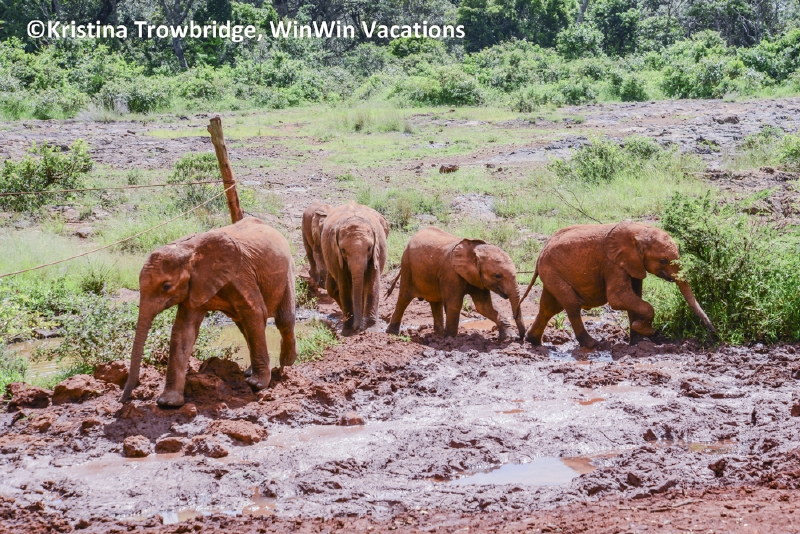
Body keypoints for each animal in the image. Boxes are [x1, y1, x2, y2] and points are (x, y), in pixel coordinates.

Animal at [120, 217, 297, 407]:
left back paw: (286, 365)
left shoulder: (240, 275)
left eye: (166, 286)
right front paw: (168, 403)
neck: (189, 251)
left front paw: (257, 385)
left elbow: (256, 312)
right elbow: (184, 330)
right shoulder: (194, 286)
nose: (123, 400)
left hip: (288, 272)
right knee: (245, 327)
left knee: (283, 320)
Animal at [320, 201, 389, 336]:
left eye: (369, 248)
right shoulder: (336, 255)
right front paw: (347, 331)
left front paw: (371, 330)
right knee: (333, 288)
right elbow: (344, 285)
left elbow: (373, 283)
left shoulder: (376, 252)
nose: (357, 328)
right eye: (343, 250)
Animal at [385, 227, 526, 341]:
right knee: (404, 298)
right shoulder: (451, 273)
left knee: (435, 302)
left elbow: (484, 307)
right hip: (407, 265)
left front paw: (509, 337)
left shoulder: (477, 278)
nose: (521, 338)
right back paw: (392, 333)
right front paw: (452, 338)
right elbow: (455, 304)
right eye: (498, 276)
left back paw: (439, 335)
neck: (475, 250)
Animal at [518, 221, 715, 349]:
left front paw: (638, 342)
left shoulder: (633, 264)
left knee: (549, 306)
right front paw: (646, 331)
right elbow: (618, 298)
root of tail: (541, 251)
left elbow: (635, 296)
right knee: (571, 304)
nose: (714, 333)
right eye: (663, 261)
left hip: (551, 272)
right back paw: (593, 345)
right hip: (551, 270)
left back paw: (532, 341)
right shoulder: (612, 263)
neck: (639, 231)